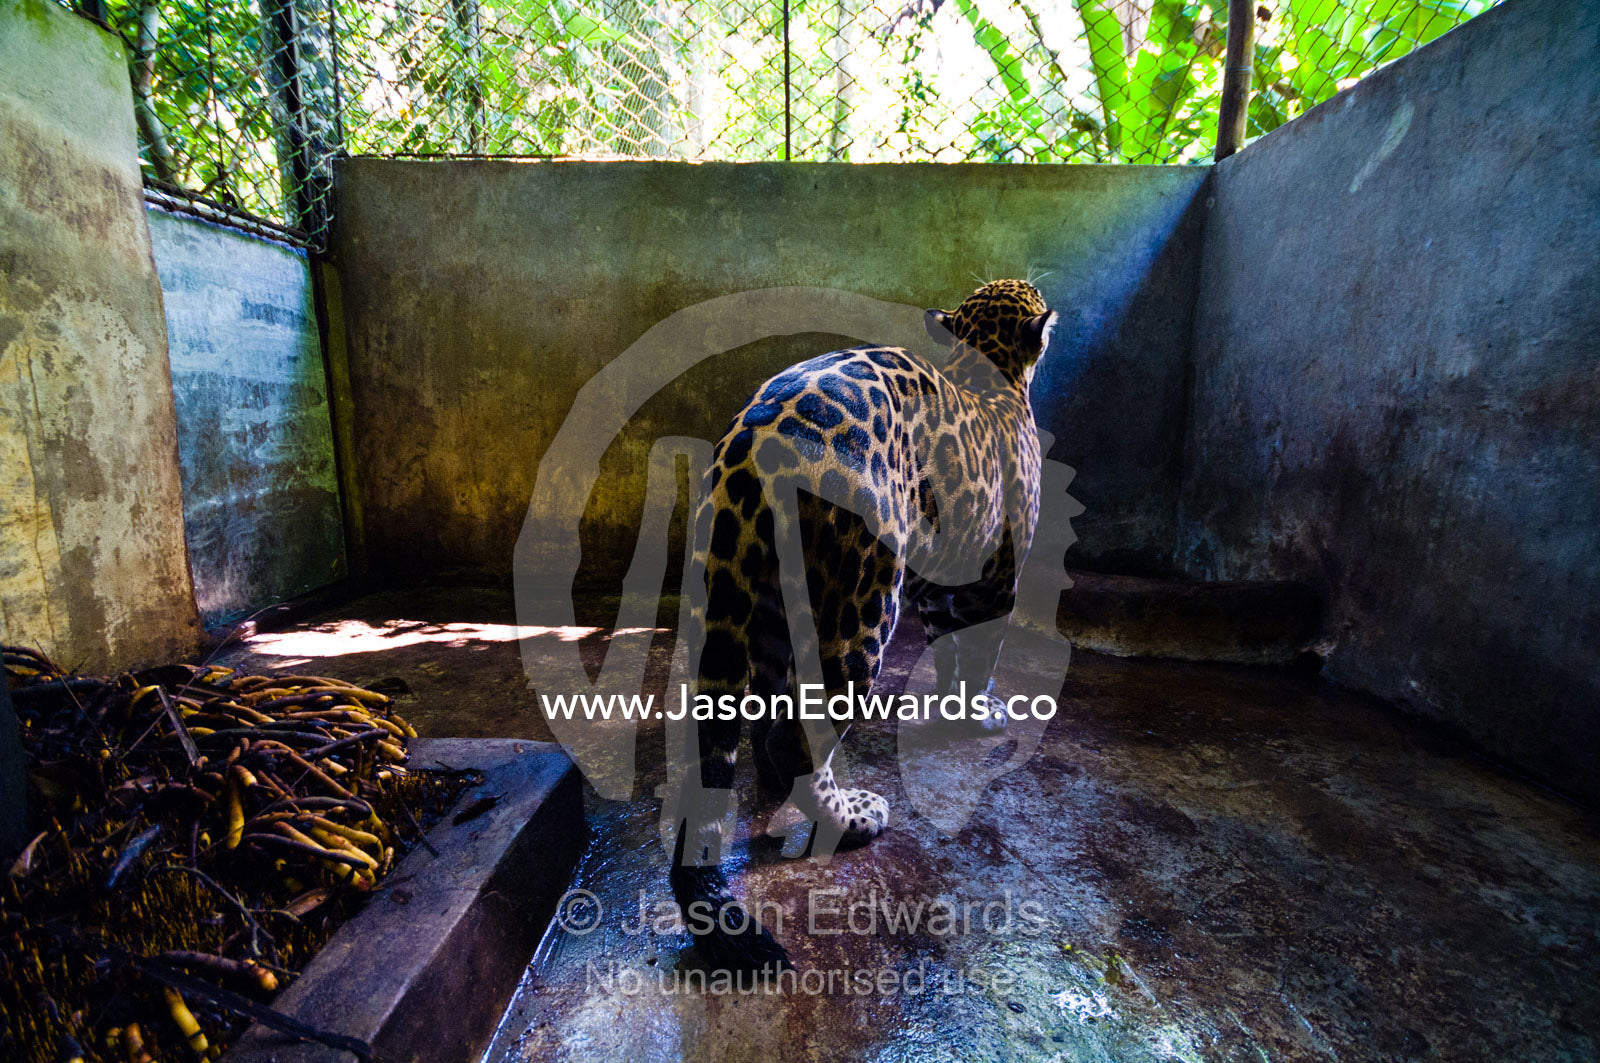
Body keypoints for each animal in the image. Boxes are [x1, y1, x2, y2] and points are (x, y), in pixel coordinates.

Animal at [669, 279, 1058, 972]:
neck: (988, 368)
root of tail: (750, 440)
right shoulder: (996, 581)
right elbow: (979, 654)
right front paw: (979, 714)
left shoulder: (943, 585)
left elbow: (949, 650)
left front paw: (953, 704)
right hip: (868, 597)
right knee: (802, 731)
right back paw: (853, 817)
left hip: (758, 600)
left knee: (760, 718)